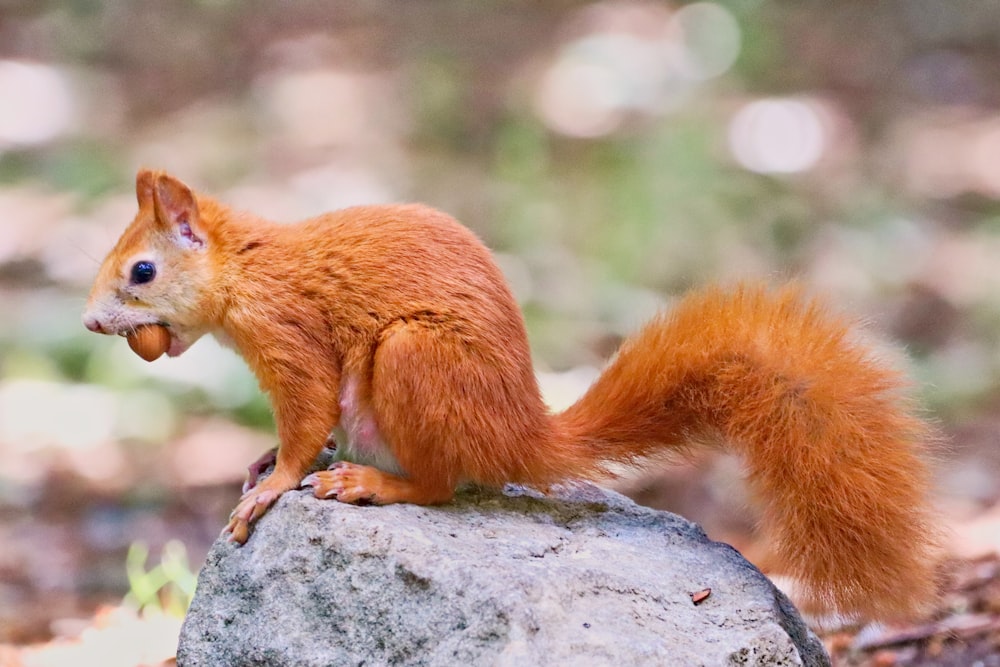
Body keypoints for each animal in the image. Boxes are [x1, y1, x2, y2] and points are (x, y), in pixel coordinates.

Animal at [80, 171, 936, 620]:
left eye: (142, 271)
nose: (91, 321)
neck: (247, 268)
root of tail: (521, 434)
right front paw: (259, 461)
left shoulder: (290, 337)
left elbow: (307, 416)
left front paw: (276, 482)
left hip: (413, 361)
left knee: (438, 484)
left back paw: (371, 482)